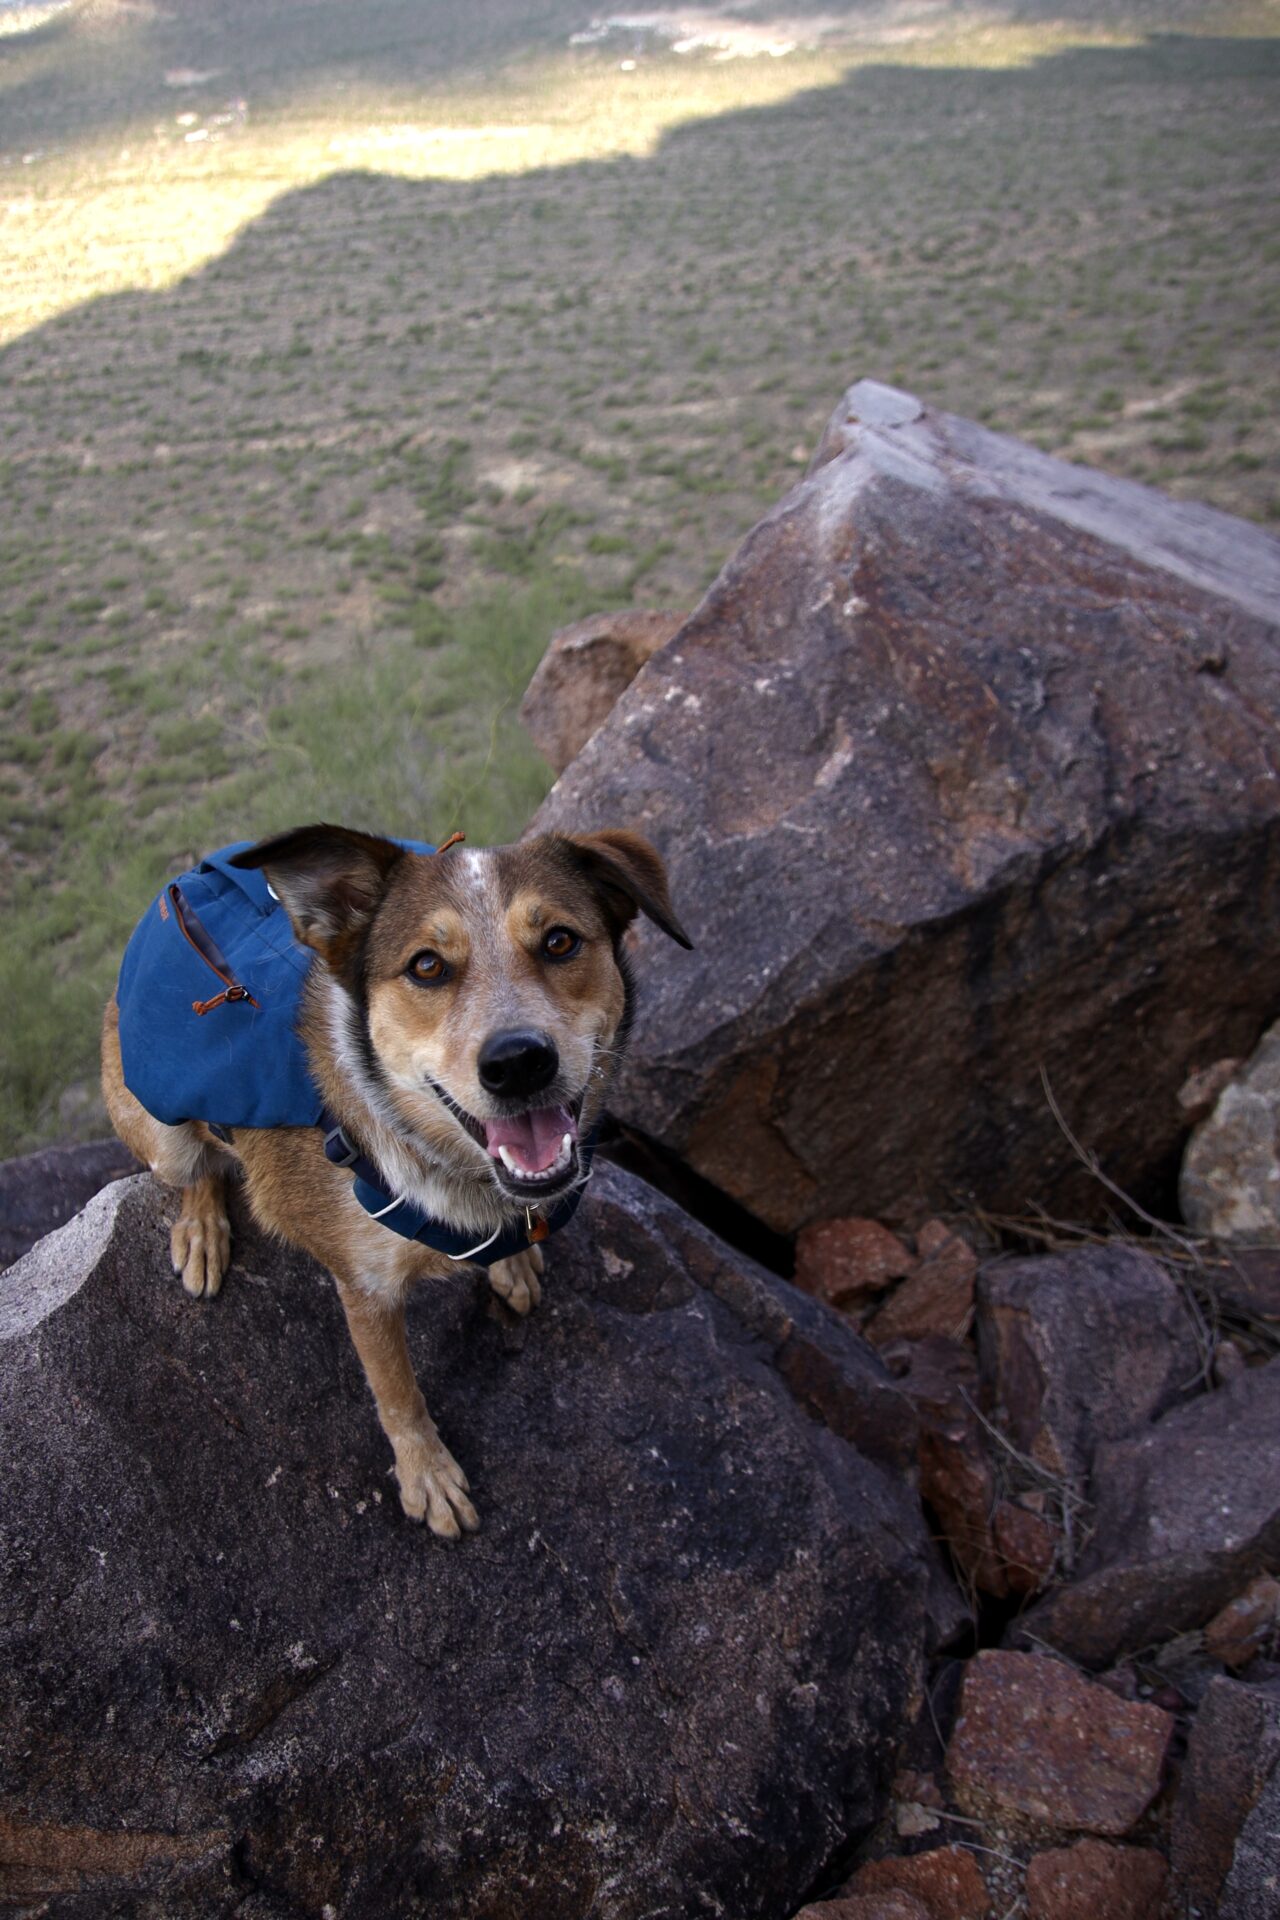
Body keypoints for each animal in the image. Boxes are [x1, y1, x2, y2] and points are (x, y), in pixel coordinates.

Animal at [102, 817, 690, 1536]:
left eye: (559, 941)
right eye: (426, 966)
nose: (518, 1062)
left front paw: (513, 1263)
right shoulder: (364, 1286)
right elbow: (396, 1390)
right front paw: (427, 1475)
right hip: (160, 1133)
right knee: (193, 1171)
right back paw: (202, 1232)